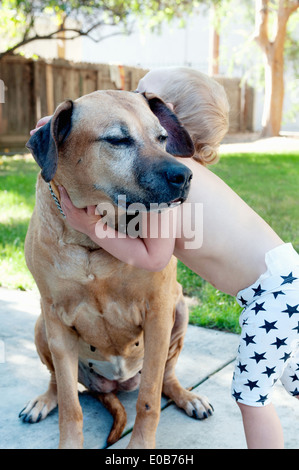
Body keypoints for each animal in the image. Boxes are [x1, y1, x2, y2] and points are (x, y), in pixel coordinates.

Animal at [21, 90, 213, 450]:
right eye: (118, 139)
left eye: (162, 138)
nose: (184, 176)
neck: (94, 240)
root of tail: (112, 386)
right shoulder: (55, 318)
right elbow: (70, 403)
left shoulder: (158, 312)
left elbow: (149, 399)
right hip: (41, 325)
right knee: (57, 381)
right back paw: (44, 400)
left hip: (179, 312)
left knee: (165, 377)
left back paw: (186, 396)